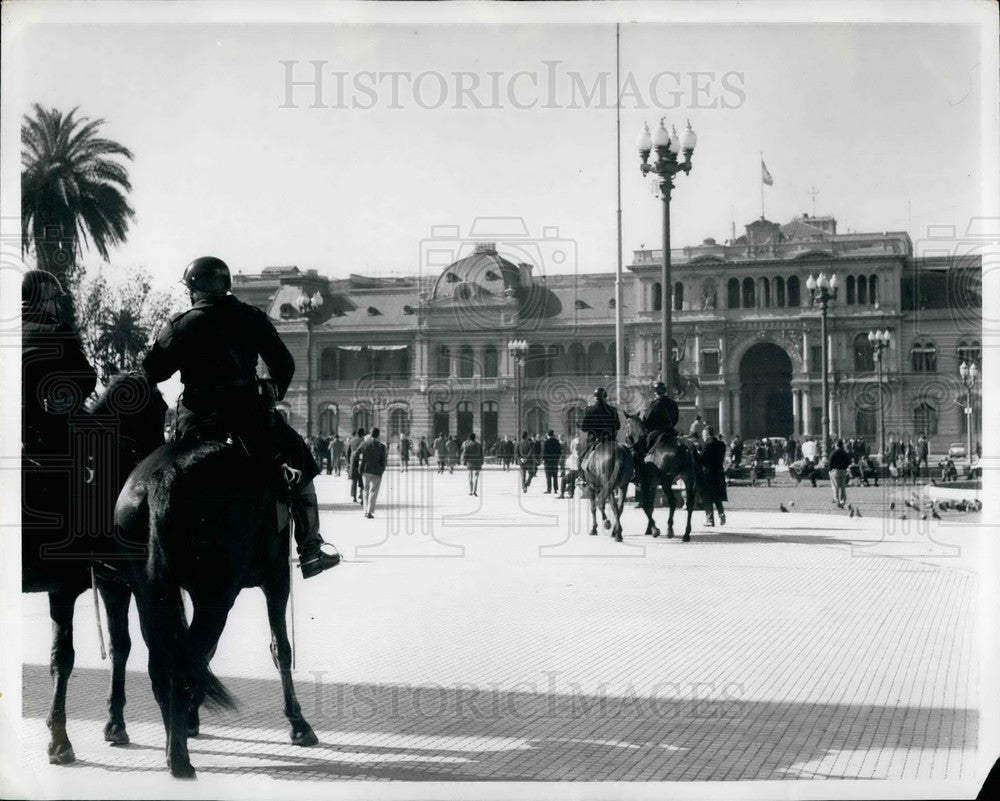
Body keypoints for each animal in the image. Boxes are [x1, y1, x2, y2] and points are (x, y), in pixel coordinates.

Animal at [21, 372, 168, 764]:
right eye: (163, 408)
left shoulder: (104, 581)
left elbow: (116, 646)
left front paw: (113, 722)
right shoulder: (75, 585)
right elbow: (66, 656)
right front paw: (60, 738)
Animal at [116, 406, 320, 776]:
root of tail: (160, 479)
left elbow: (206, 655)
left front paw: (191, 717)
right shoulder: (276, 578)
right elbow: (280, 648)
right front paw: (298, 724)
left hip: (149, 593)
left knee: (164, 662)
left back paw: (173, 743)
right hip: (217, 594)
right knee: (183, 661)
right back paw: (179, 760)